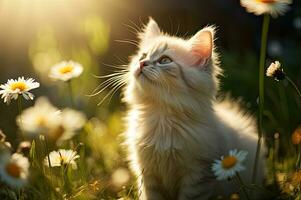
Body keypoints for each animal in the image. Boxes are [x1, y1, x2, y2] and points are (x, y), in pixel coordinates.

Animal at [120, 18, 264, 199]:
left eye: (165, 60)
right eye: (143, 56)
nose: (141, 63)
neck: (163, 117)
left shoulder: (198, 175)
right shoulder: (148, 174)